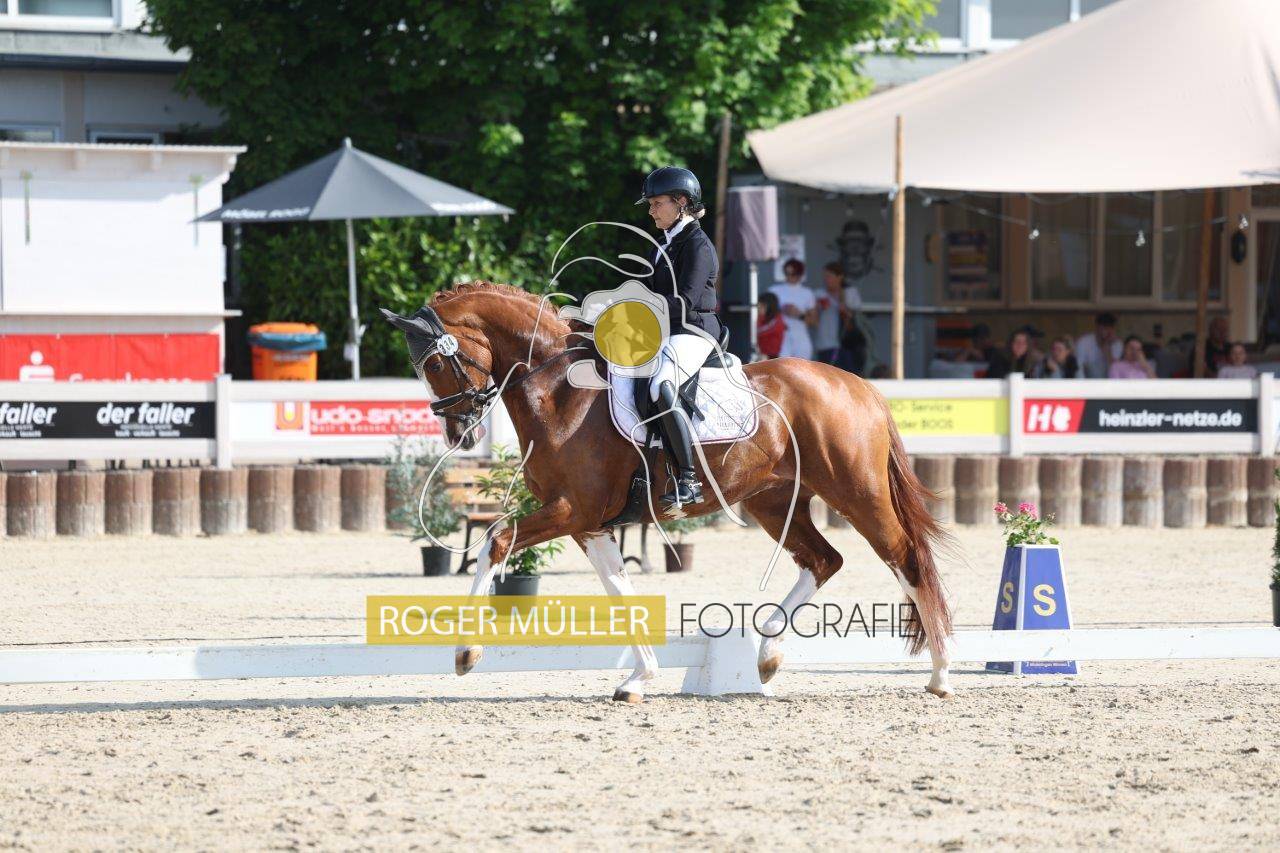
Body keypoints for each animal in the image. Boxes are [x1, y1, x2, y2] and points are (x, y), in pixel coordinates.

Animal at [383, 281, 953, 703]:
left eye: (435, 364)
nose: (459, 435)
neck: (559, 389)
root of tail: (859, 385)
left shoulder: (569, 510)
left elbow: (495, 541)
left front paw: (465, 654)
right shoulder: (588, 524)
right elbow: (620, 593)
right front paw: (638, 679)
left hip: (857, 493)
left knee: (905, 559)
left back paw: (941, 674)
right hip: (772, 501)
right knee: (823, 560)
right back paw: (766, 657)